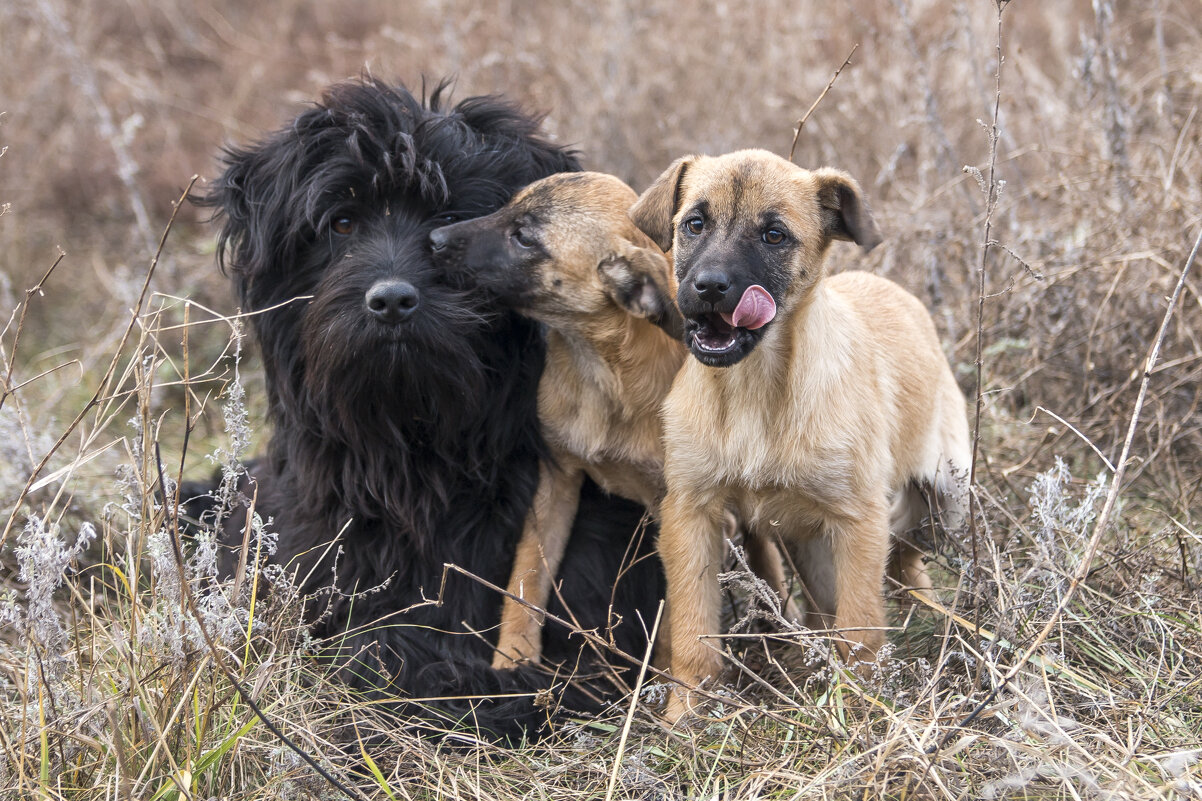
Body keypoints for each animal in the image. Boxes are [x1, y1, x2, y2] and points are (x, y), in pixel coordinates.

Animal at [430, 173, 798, 668]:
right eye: (507, 208)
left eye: (524, 237)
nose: (433, 239)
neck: (603, 374)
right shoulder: (556, 481)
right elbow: (527, 575)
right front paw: (513, 658)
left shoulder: (673, 510)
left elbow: (674, 614)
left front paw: (663, 677)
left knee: (763, 550)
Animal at [634, 149, 971, 716]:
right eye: (694, 224)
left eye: (774, 235)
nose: (708, 287)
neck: (754, 391)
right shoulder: (691, 515)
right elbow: (693, 628)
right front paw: (687, 714)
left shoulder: (858, 519)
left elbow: (860, 626)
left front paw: (861, 707)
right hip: (807, 542)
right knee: (829, 601)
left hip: (943, 499)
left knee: (906, 554)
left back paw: (930, 612)